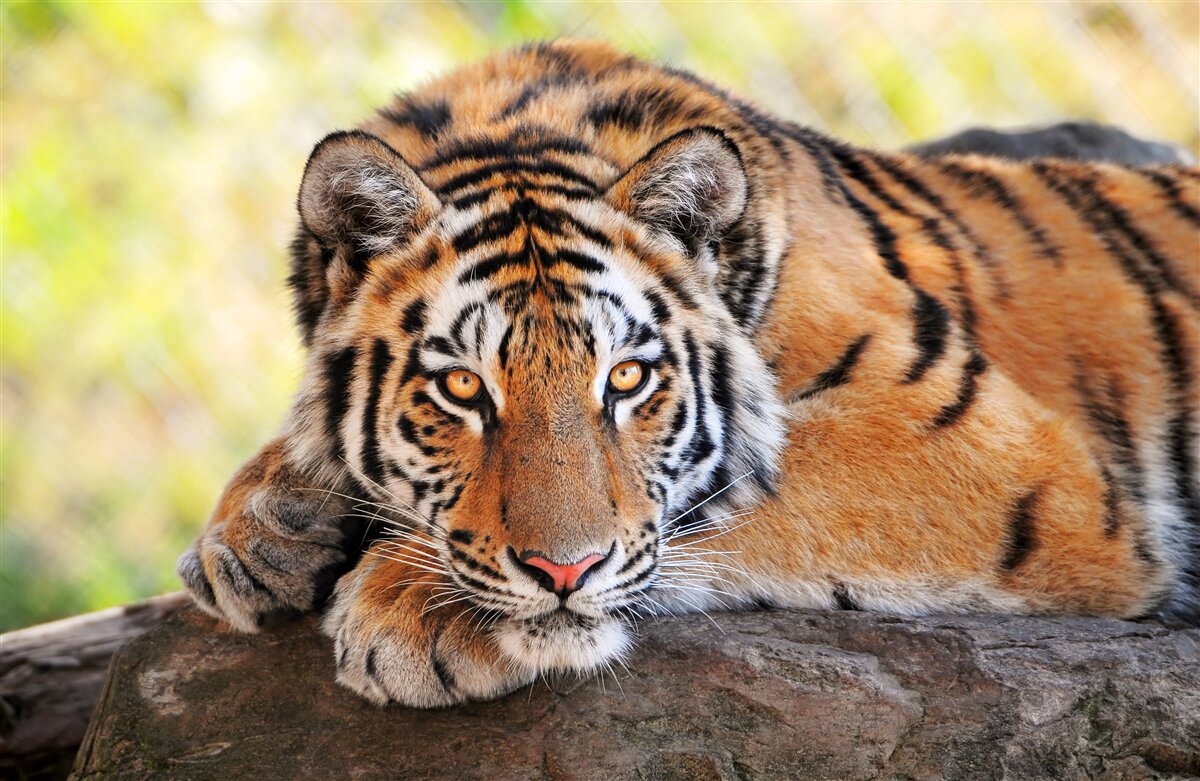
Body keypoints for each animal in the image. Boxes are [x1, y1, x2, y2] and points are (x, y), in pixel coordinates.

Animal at [176, 40, 1200, 708]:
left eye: (627, 379)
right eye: (463, 388)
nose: (563, 571)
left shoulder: (997, 452)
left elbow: (727, 495)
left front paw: (409, 605)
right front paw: (261, 527)